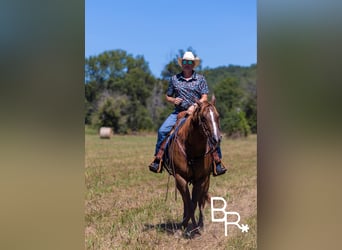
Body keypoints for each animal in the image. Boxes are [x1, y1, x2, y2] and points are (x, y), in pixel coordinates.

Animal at [163, 96, 222, 235]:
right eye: (203, 118)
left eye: (217, 116)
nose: (216, 139)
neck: (192, 149)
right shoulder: (180, 178)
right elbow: (188, 203)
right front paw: (183, 226)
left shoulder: (201, 179)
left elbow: (195, 203)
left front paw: (196, 227)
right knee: (187, 201)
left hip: (206, 181)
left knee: (201, 201)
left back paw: (200, 224)